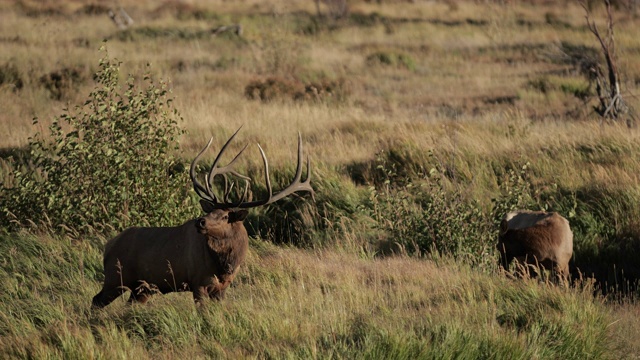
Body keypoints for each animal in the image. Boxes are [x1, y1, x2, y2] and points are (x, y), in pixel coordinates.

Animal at [92, 128, 316, 308]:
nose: (200, 221)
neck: (226, 265)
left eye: (225, 216)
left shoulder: (222, 288)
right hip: (116, 277)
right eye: (210, 211)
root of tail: (108, 245)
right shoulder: (197, 281)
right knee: (96, 300)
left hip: (142, 288)